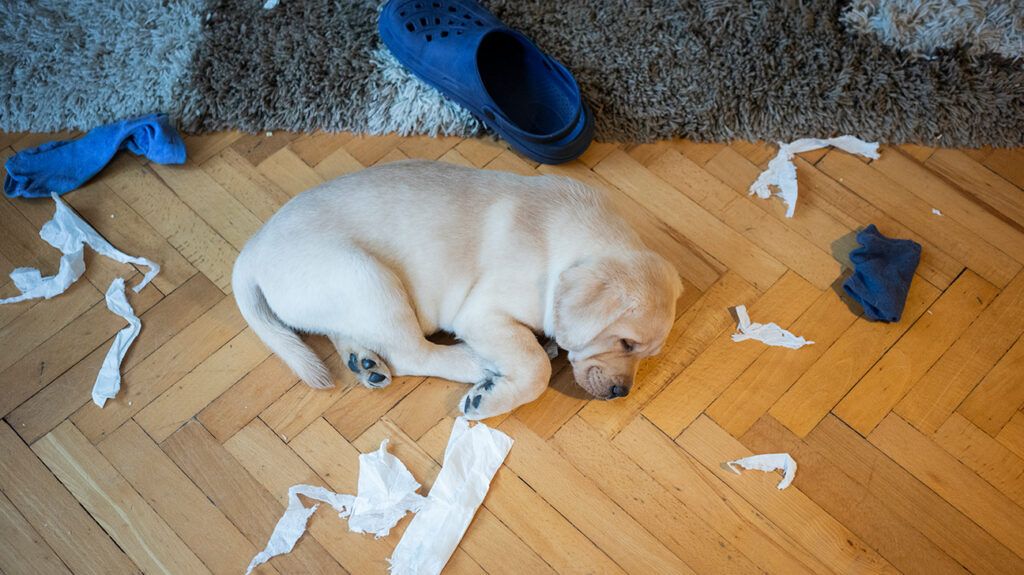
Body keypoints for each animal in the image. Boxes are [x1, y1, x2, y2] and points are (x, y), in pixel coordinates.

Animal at [232, 157, 679, 415]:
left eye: (646, 354)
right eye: (626, 344)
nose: (621, 392)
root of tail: (251, 250)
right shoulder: (483, 314)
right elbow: (534, 367)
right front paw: (492, 397)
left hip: (349, 295)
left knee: (350, 335)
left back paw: (365, 363)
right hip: (368, 278)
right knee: (413, 354)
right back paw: (475, 363)